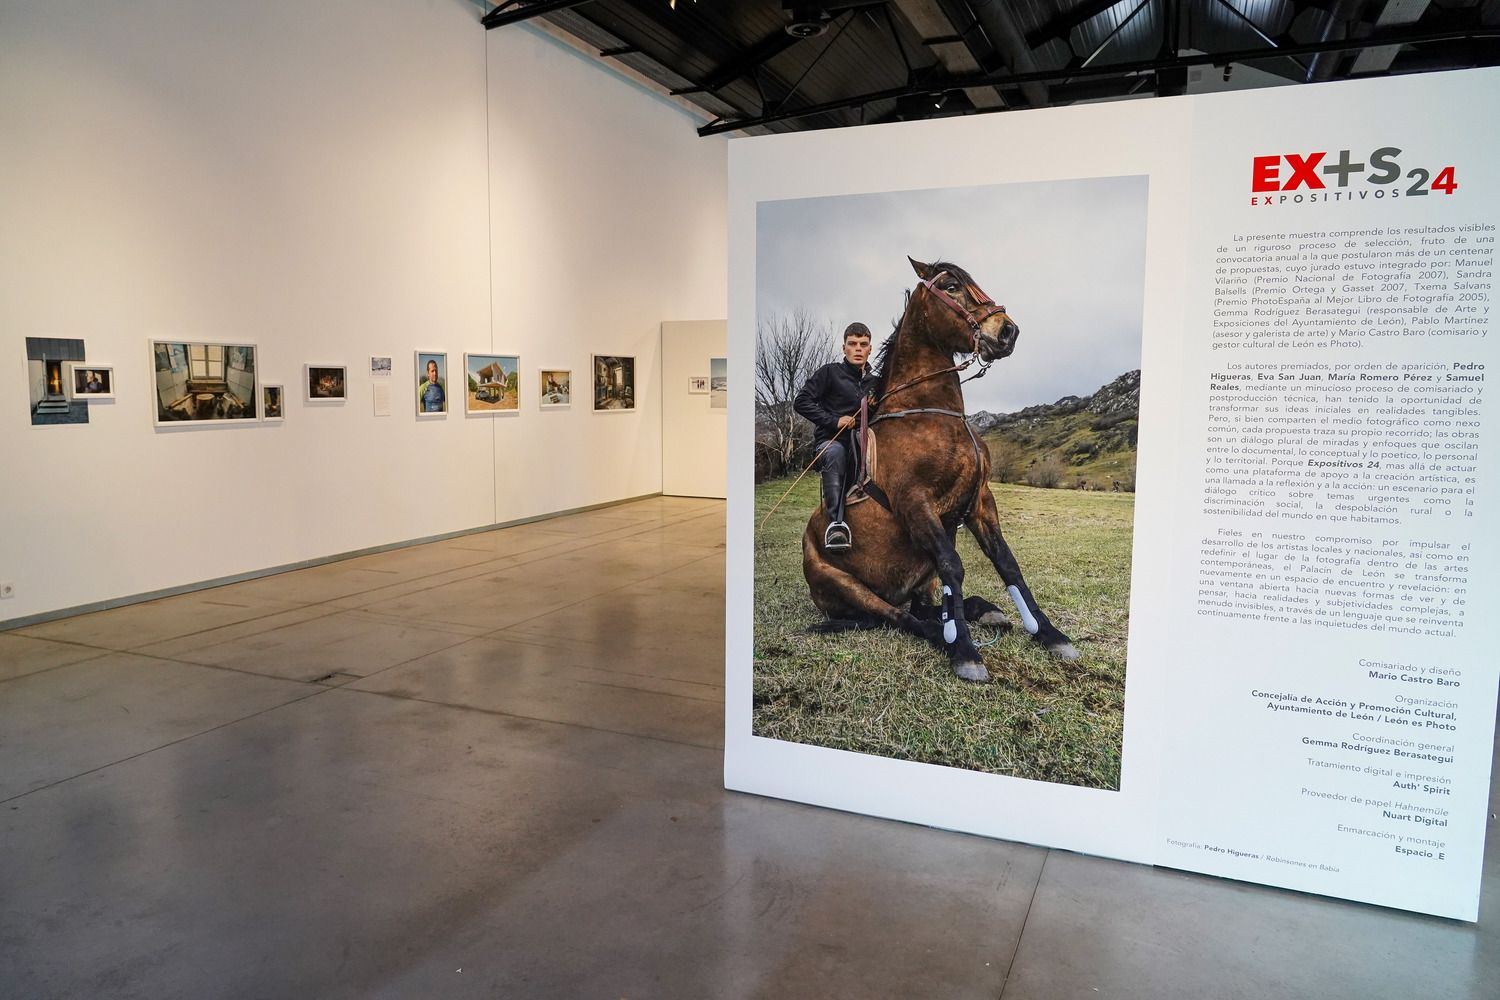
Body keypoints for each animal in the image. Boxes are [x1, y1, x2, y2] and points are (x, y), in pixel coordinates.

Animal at [810, 254, 1080, 683]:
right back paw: (947, 634)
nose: (1008, 331)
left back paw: (981, 611)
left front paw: (1048, 633)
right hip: (846, 585)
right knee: (901, 618)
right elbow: (954, 565)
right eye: (951, 286)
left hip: (922, 576)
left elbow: (1008, 564)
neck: (931, 414)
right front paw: (966, 651)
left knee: (921, 607)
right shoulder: (916, 503)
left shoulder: (980, 501)